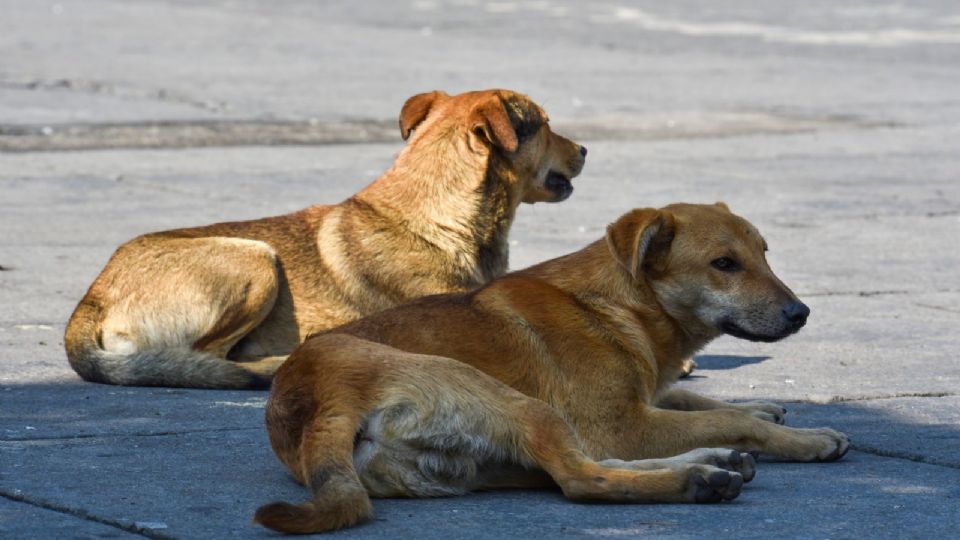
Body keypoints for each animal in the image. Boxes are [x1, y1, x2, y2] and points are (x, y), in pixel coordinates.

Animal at [65, 90, 584, 390]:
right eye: (545, 124)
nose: (583, 149)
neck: (440, 220)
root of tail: (92, 296)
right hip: (255, 259)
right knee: (207, 358)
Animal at [255, 204, 848, 536]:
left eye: (765, 253)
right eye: (725, 264)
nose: (801, 313)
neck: (620, 301)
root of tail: (316, 400)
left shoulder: (641, 402)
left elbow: (695, 399)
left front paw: (764, 409)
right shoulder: (623, 424)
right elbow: (725, 418)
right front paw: (806, 438)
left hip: (491, 458)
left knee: (583, 466)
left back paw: (713, 463)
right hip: (509, 402)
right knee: (582, 479)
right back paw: (698, 478)